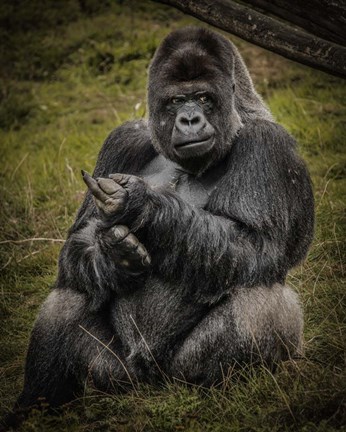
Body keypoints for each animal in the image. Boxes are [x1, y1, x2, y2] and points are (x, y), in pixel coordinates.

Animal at [16, 27, 314, 412]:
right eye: (175, 101)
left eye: (202, 98)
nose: (189, 120)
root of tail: (151, 384)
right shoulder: (124, 138)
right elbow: (77, 240)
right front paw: (116, 257)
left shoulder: (269, 145)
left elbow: (254, 245)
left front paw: (141, 205)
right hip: (117, 378)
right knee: (71, 293)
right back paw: (36, 405)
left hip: (177, 376)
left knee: (260, 304)